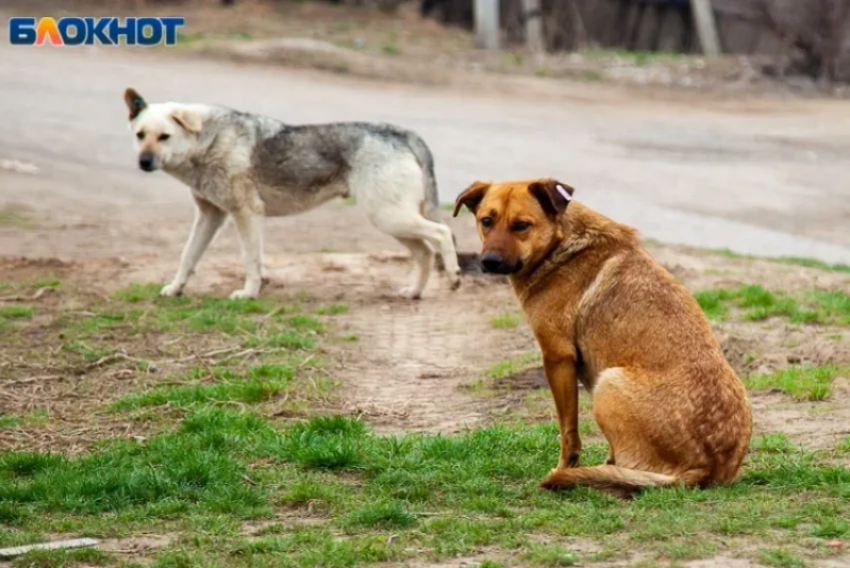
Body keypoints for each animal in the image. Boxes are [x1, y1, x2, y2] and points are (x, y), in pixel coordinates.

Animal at [454, 181, 752, 496]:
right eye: (486, 221)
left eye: (521, 225)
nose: (489, 262)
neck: (562, 244)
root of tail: (706, 470)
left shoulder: (557, 358)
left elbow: (568, 432)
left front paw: (564, 469)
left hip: (607, 384)